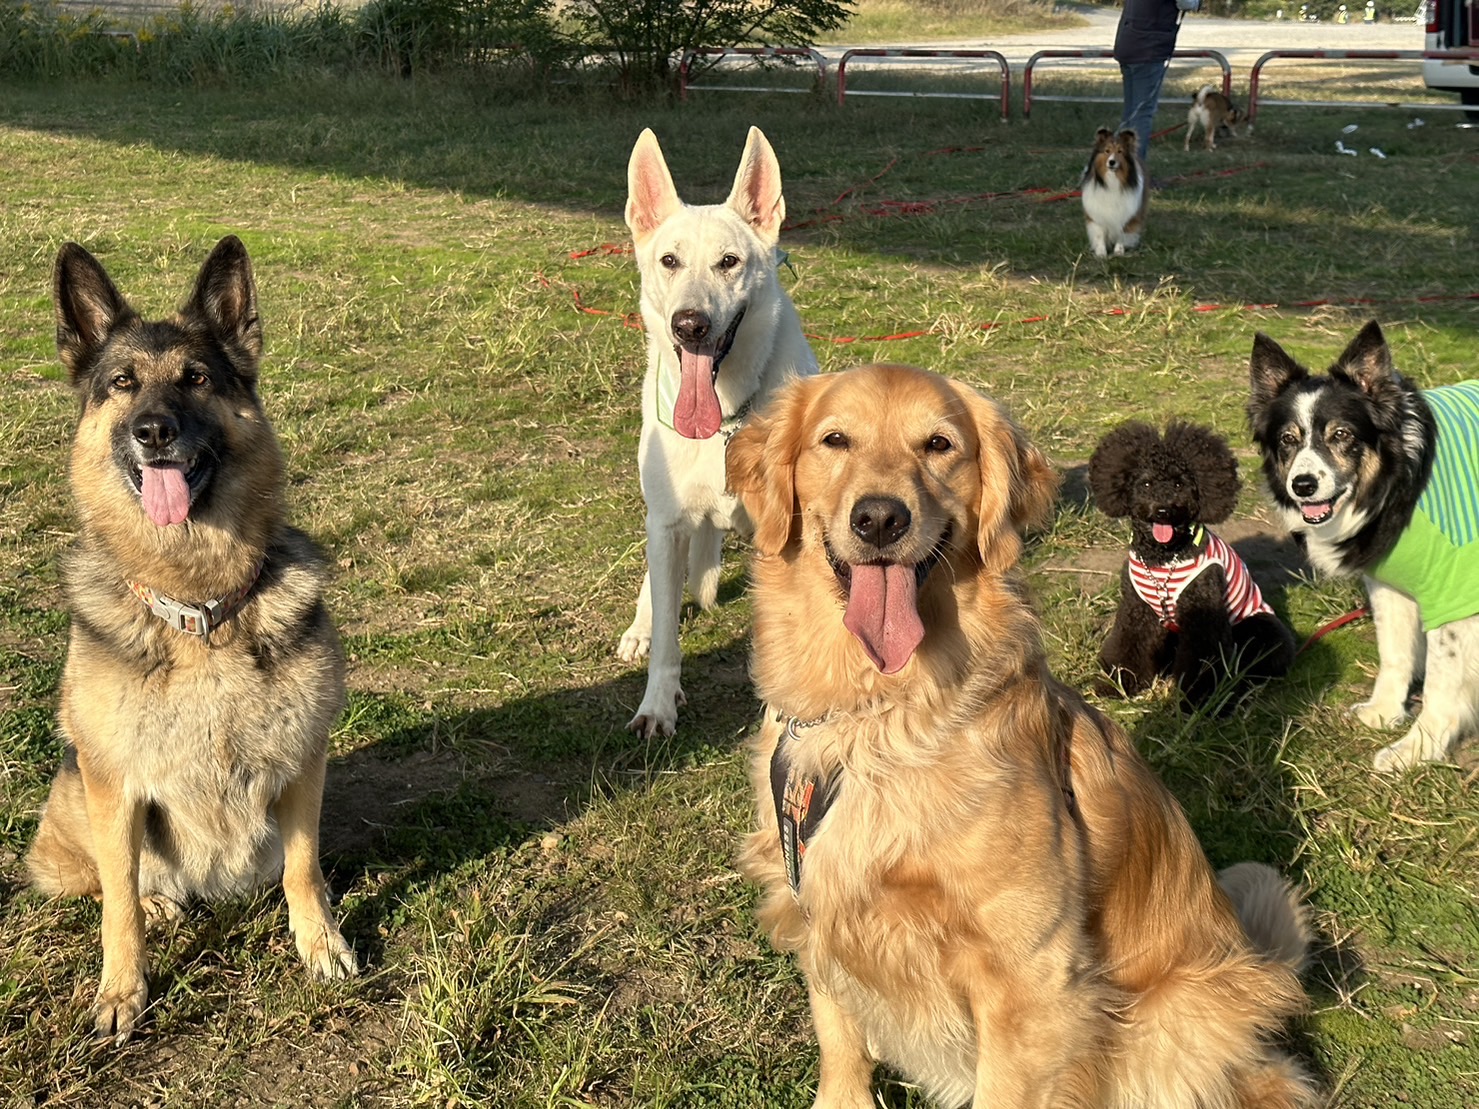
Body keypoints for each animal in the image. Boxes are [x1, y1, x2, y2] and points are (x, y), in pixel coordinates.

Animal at [27, 239, 356, 1046]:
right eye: (121, 384)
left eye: (197, 379)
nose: (153, 432)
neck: (201, 608)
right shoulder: (116, 785)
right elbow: (116, 900)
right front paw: (122, 989)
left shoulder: (305, 763)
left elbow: (303, 868)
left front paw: (320, 943)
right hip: (78, 794)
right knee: (105, 881)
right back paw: (157, 902)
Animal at [727, 366, 1319, 1109]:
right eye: (835, 439)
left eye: (939, 444)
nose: (880, 518)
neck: (880, 710)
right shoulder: (818, 904)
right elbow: (840, 1045)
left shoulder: (1026, 974)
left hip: (1176, 1016)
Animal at [1082, 127, 1147, 260]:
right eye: (1107, 151)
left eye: (1120, 151)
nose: (1111, 162)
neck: (1112, 180)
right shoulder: (1096, 214)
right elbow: (1099, 235)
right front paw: (1101, 253)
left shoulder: (1127, 214)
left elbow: (1122, 234)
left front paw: (1119, 251)